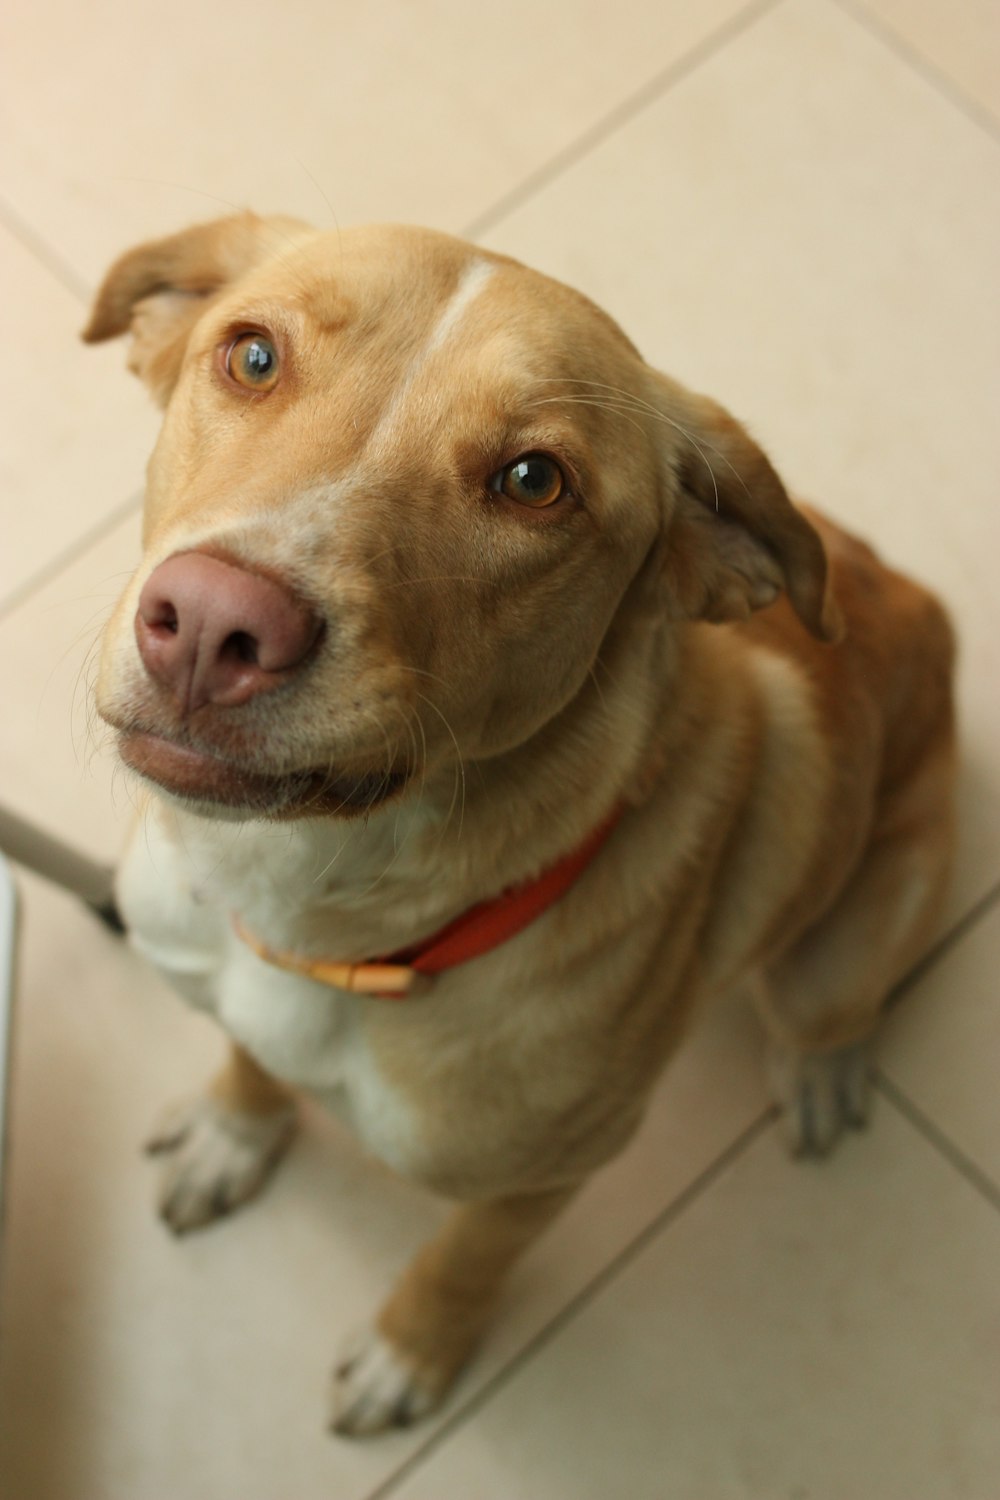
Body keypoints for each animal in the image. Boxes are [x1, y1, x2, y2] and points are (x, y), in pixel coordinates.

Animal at [82, 214, 959, 1440]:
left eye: (535, 482)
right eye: (251, 356)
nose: (212, 626)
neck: (318, 911)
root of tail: (933, 613)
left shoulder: (535, 1181)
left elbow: (460, 1264)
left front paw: (410, 1353)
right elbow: (251, 1063)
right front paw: (235, 1131)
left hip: (837, 944)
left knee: (829, 1010)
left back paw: (823, 1068)